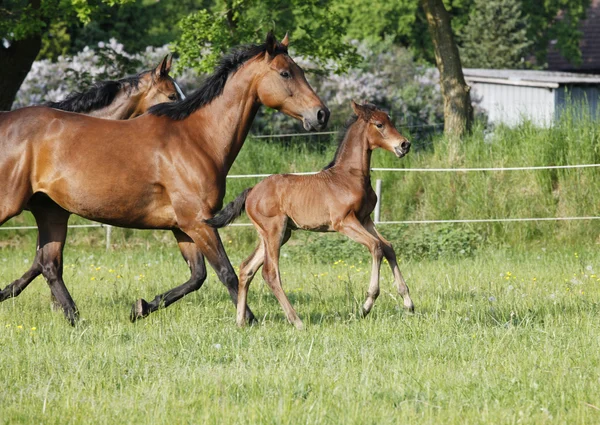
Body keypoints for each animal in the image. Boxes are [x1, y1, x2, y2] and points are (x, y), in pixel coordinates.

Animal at [206, 102, 412, 328]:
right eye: (379, 124)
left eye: (390, 121)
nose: (404, 145)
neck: (349, 177)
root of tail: (251, 191)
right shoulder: (344, 222)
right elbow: (376, 247)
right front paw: (366, 305)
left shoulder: (365, 219)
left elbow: (388, 247)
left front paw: (408, 302)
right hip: (274, 231)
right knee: (270, 273)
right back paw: (296, 321)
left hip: (278, 234)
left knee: (246, 268)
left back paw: (241, 321)